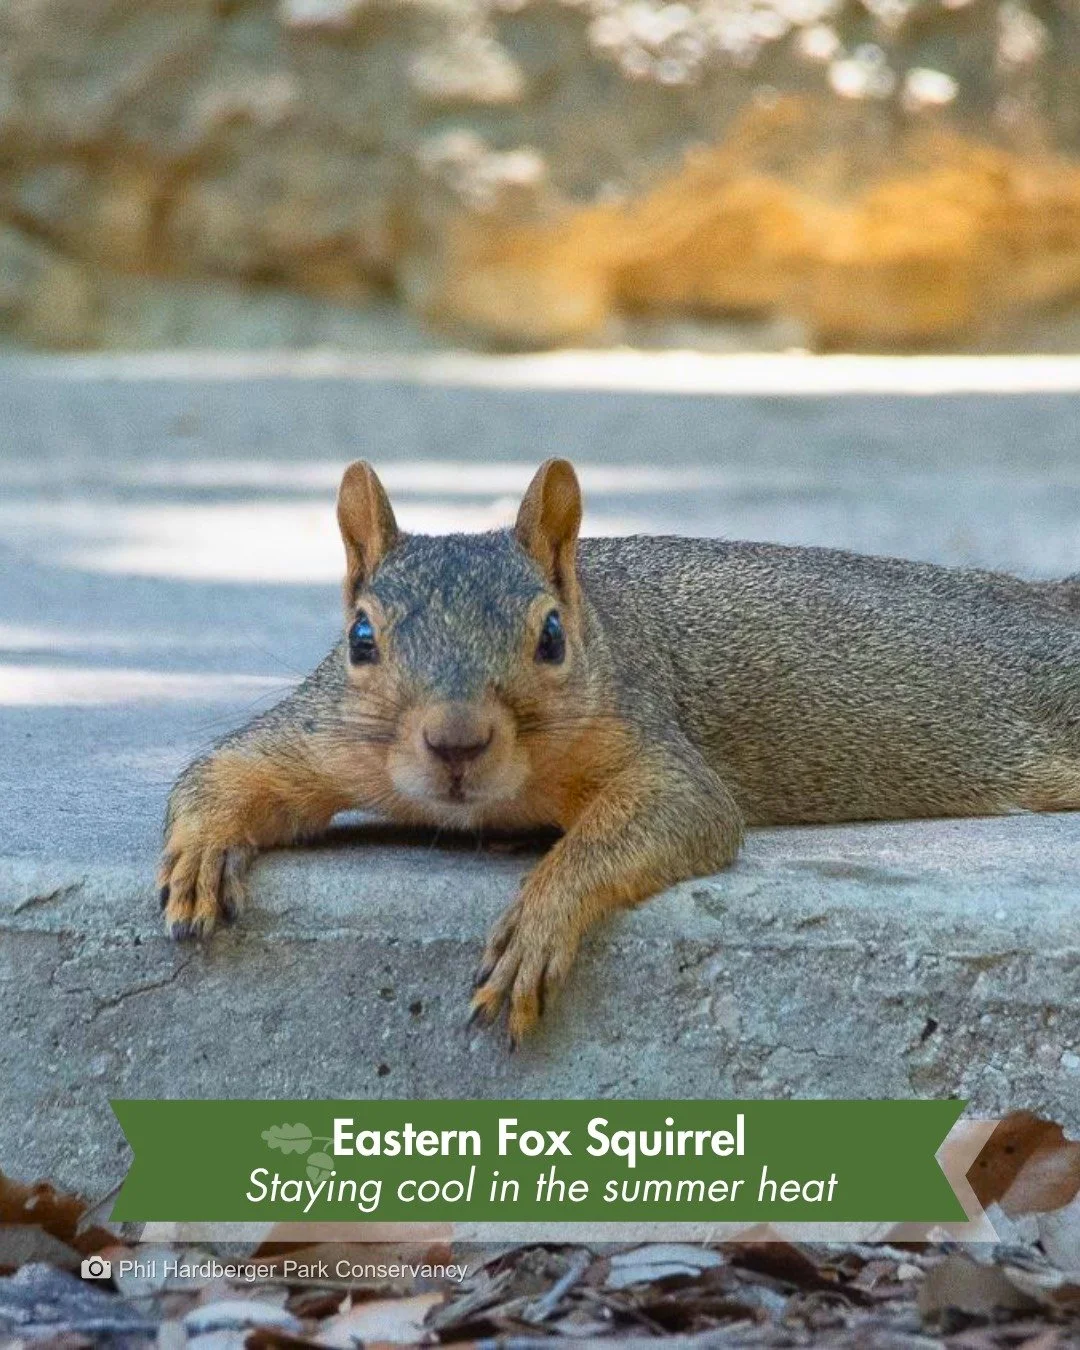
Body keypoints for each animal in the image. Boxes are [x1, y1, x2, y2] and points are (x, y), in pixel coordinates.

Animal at [160, 458, 1080, 1043]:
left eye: (552, 636)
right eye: (360, 639)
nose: (456, 742)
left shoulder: (647, 740)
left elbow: (654, 820)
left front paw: (540, 916)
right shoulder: (323, 735)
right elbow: (226, 768)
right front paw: (199, 852)